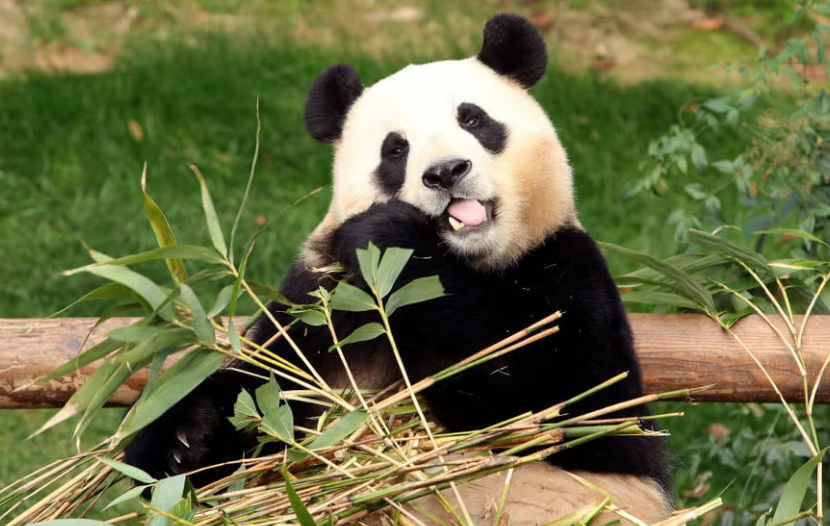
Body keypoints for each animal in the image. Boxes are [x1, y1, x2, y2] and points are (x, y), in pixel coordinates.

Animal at [124, 14, 672, 524]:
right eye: (396, 148)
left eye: (474, 120)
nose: (446, 172)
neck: (471, 258)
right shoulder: (321, 304)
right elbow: (266, 391)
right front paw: (179, 443)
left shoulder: (568, 268)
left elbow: (566, 404)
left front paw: (391, 236)